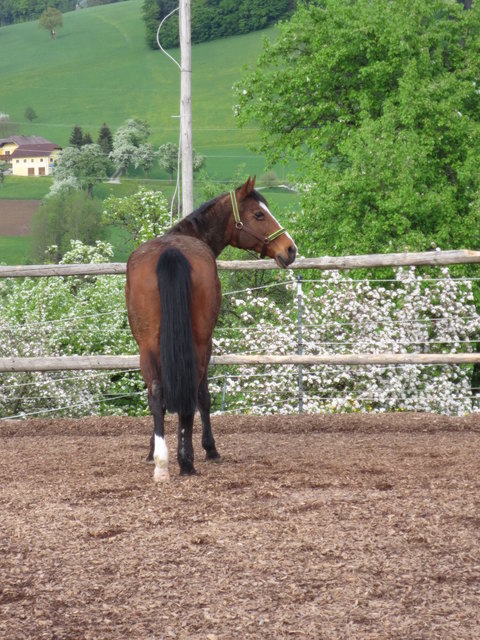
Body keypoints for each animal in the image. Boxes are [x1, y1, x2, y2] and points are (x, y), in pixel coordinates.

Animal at [125, 177, 297, 481]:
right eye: (259, 214)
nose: (290, 249)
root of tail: (170, 252)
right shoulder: (208, 343)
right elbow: (203, 397)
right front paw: (209, 448)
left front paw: (152, 450)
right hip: (199, 343)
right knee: (193, 393)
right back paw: (186, 461)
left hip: (147, 345)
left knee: (156, 393)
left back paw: (162, 463)